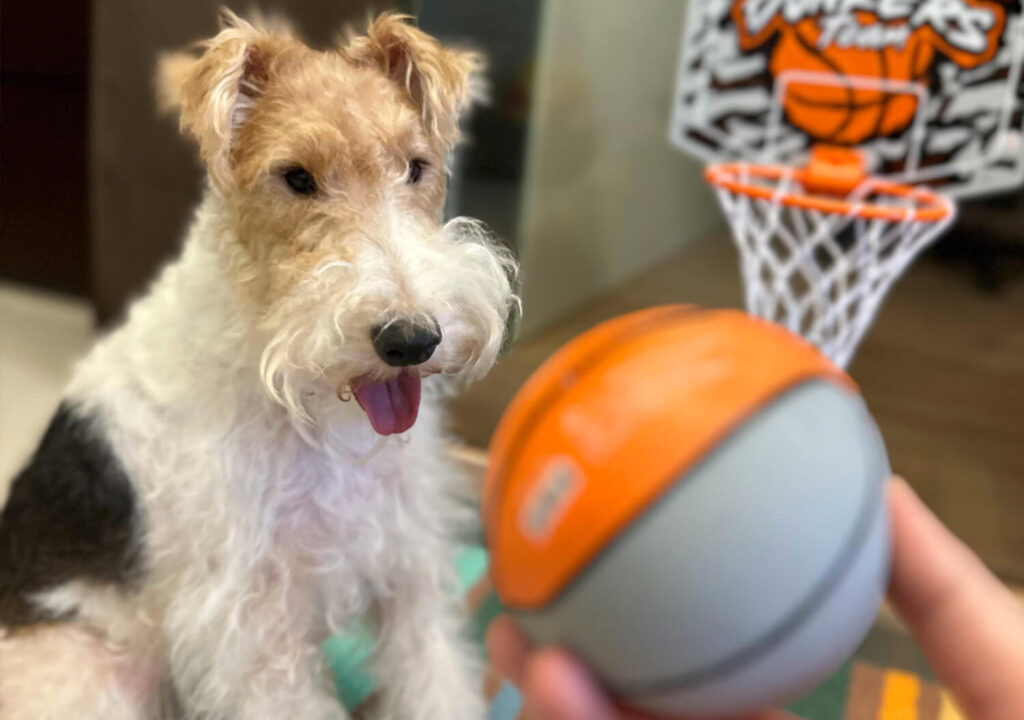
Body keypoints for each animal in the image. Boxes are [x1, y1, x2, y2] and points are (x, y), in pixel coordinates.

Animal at [0, 11, 512, 720]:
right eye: (295, 177)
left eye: (416, 167)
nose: (410, 340)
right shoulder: (250, 633)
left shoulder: (408, 560)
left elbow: (432, 676)